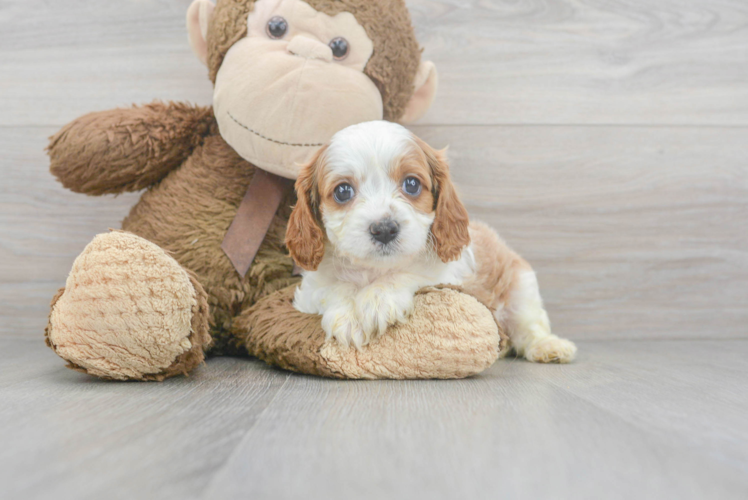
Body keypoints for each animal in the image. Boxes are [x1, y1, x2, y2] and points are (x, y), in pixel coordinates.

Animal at [286, 121, 580, 364]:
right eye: (343, 191)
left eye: (412, 184)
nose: (384, 229)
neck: (374, 270)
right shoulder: (309, 292)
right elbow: (333, 288)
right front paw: (348, 315)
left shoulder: (447, 277)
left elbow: (412, 274)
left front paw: (379, 299)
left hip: (521, 287)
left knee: (529, 327)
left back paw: (550, 347)